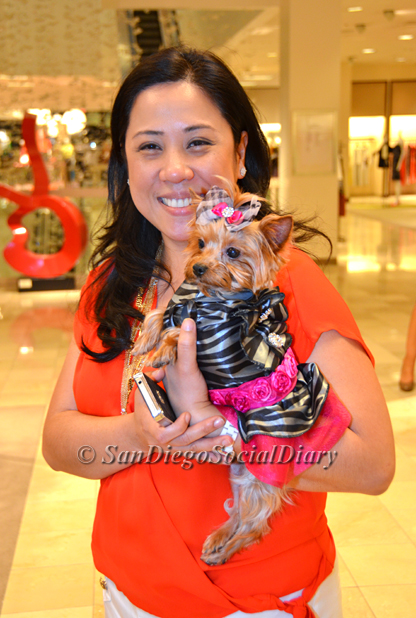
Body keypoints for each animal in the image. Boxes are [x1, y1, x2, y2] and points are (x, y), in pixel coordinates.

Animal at [133, 184, 332, 565]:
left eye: (234, 252)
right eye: (200, 243)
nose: (197, 268)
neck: (213, 301)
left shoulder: (215, 342)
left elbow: (177, 331)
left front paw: (163, 349)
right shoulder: (186, 304)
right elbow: (161, 313)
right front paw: (145, 341)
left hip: (260, 479)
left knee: (255, 525)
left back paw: (224, 552)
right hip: (241, 476)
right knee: (238, 512)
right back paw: (219, 538)